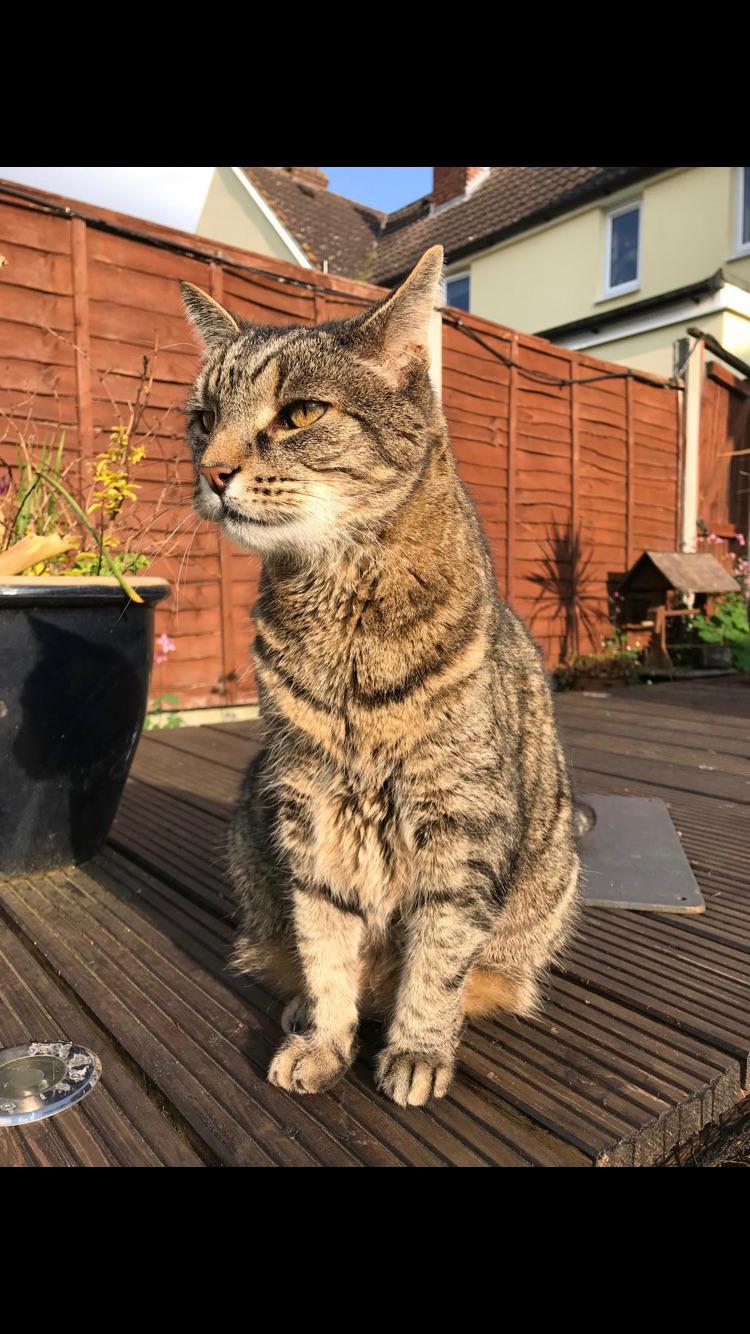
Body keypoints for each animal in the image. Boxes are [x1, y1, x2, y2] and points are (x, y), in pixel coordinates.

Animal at [180, 246, 580, 1108]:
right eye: (201, 418)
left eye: (299, 414)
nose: (214, 470)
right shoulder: (310, 809)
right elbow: (326, 944)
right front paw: (323, 1039)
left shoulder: (458, 821)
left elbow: (437, 957)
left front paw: (419, 1048)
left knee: (490, 972)